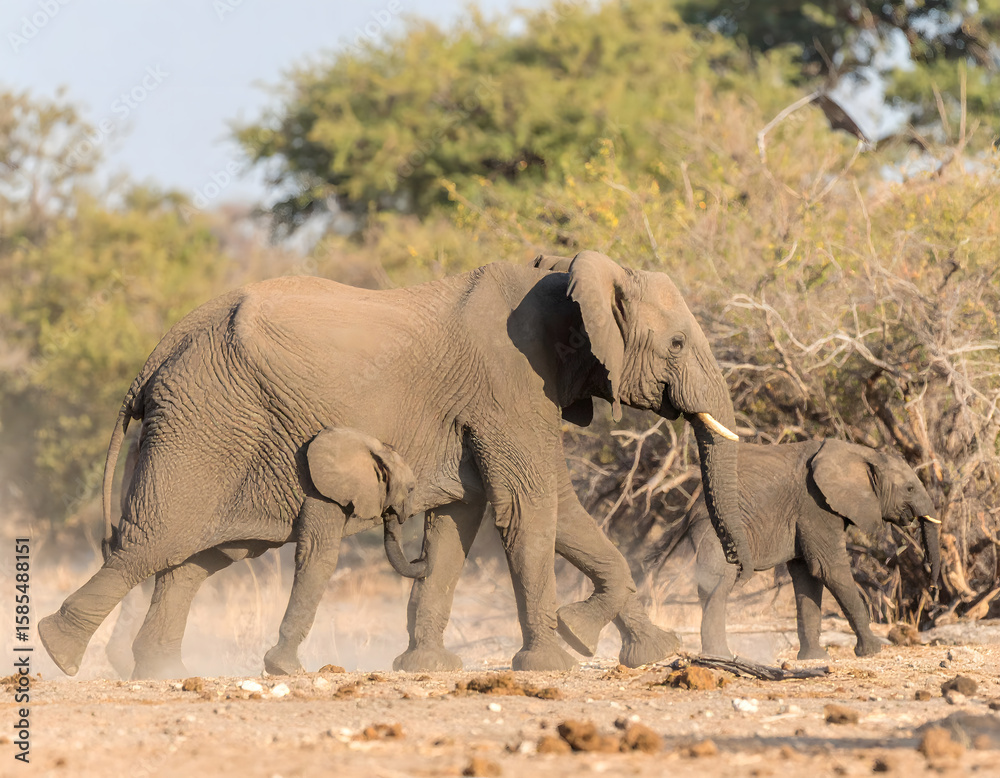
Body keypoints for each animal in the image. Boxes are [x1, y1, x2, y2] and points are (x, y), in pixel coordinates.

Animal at [40, 250, 749, 677]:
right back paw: (60, 652)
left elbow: (479, 516)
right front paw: (556, 661)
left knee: (199, 558)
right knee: (150, 542)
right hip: (204, 421)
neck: (565, 274)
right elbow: (532, 507)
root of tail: (160, 350)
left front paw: (649, 651)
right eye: (677, 342)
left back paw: (162, 672)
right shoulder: (509, 385)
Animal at [658, 439, 940, 660]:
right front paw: (872, 651)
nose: (933, 583)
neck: (860, 453)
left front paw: (814, 658)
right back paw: (721, 656)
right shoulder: (814, 505)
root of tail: (690, 511)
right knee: (720, 584)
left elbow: (808, 575)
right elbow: (829, 569)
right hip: (716, 535)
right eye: (910, 488)